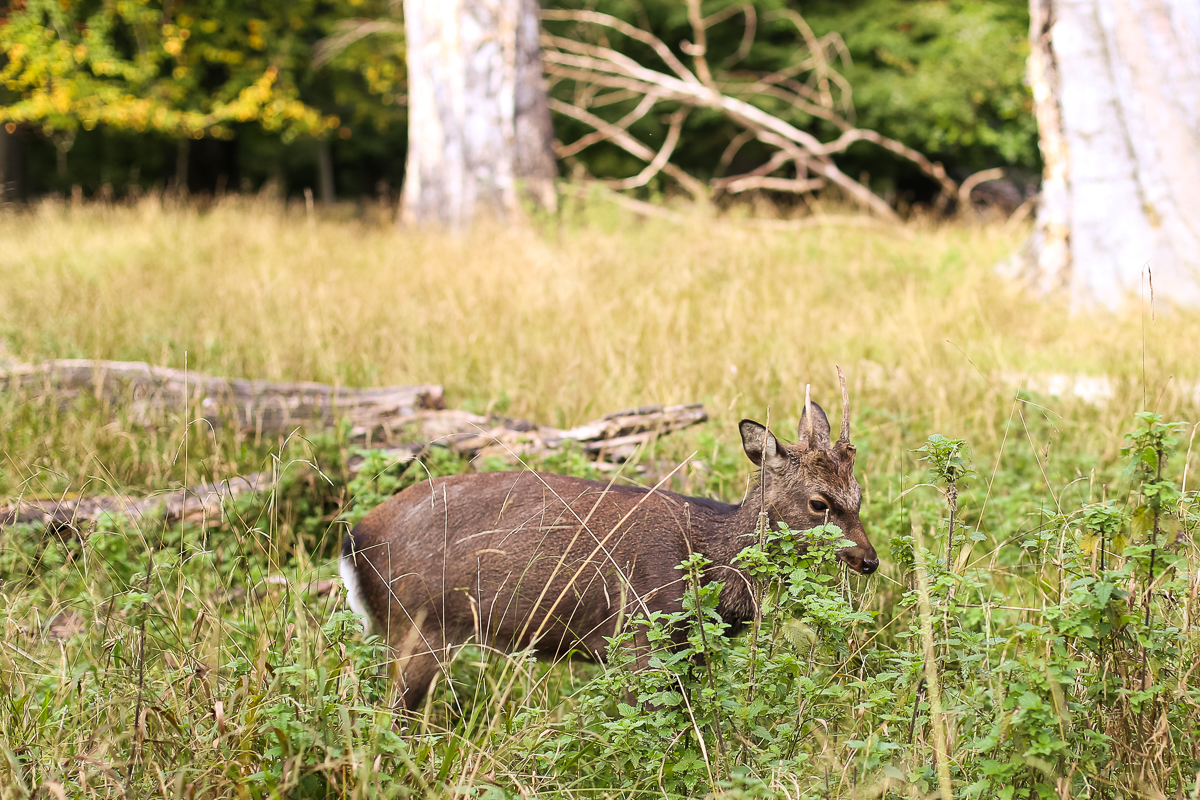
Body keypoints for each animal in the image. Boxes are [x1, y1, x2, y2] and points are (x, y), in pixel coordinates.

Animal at [343, 369, 878, 705]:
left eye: (858, 495)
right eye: (819, 503)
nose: (870, 560)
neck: (708, 557)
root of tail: (355, 539)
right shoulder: (643, 634)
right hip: (417, 623)